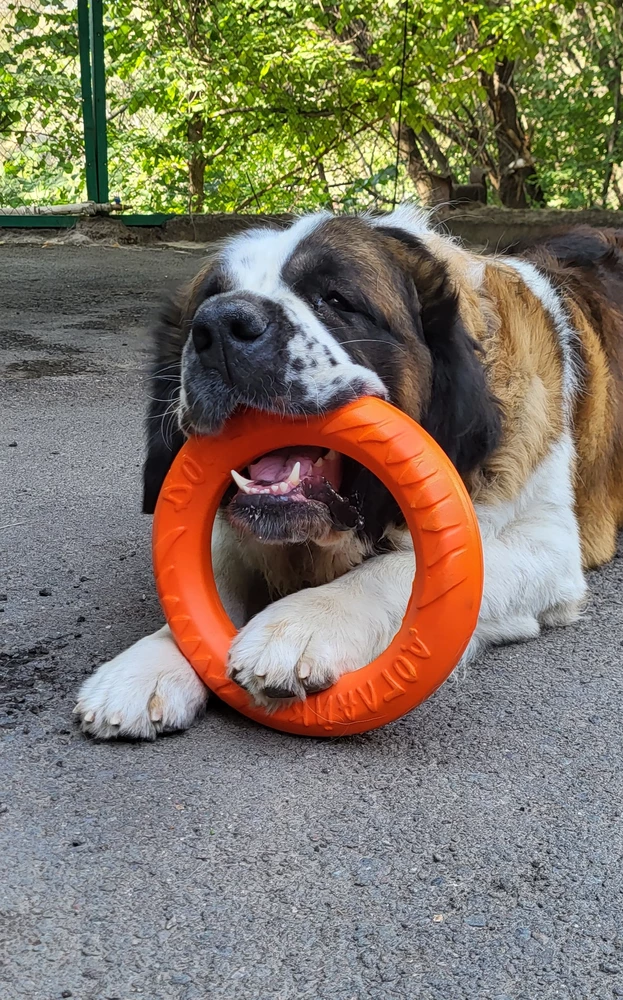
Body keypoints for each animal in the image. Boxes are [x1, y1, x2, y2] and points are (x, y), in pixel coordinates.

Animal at [73, 203, 623, 740]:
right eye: (207, 303)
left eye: (335, 299)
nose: (222, 326)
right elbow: (215, 564)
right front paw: (153, 660)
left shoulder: (548, 545)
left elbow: (402, 569)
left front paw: (302, 623)